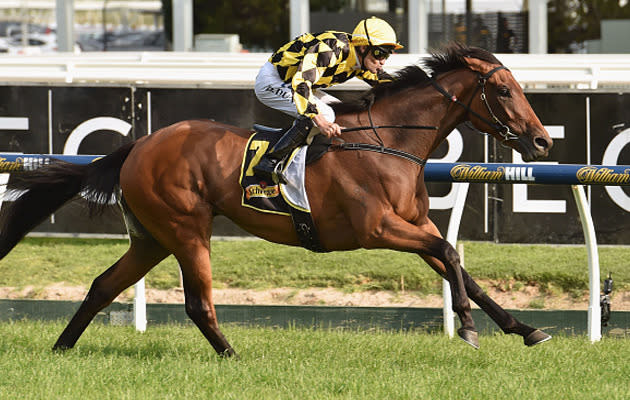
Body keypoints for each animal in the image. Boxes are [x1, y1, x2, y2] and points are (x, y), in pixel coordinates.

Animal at [0, 43, 552, 356]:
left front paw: (523, 329)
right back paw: (232, 356)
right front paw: (468, 327)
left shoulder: (417, 226)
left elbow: (460, 266)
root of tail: (139, 144)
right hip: (185, 228)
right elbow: (451, 254)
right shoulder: (378, 228)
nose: (543, 142)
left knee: (102, 286)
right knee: (198, 303)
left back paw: (62, 348)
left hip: (152, 238)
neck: (387, 141)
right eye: (505, 91)